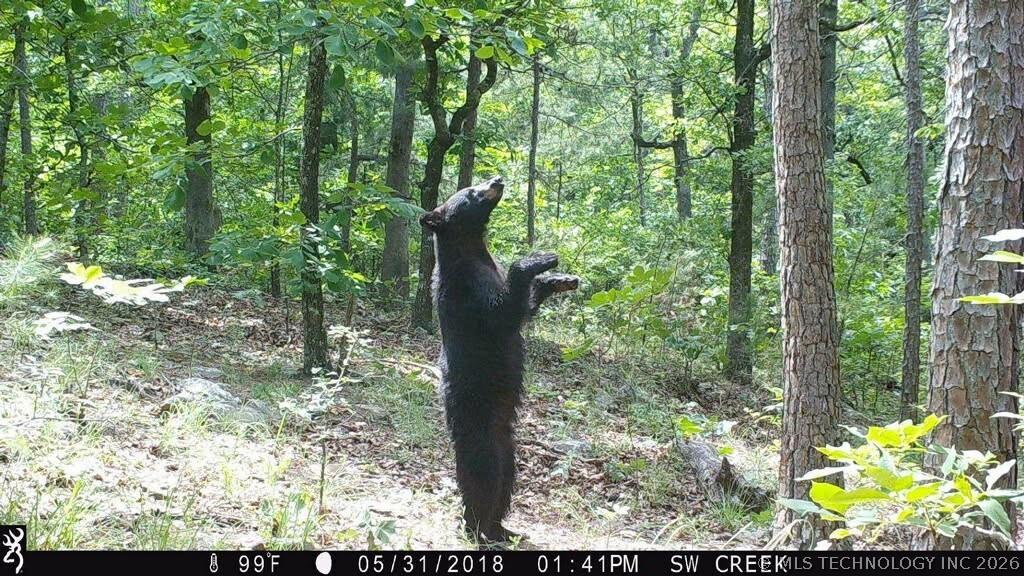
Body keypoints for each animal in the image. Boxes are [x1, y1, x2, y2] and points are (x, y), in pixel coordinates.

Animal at [419, 175, 579, 543]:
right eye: (469, 192)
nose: (497, 179)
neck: (473, 249)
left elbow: (523, 309)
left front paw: (559, 280)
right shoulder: (468, 293)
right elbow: (503, 314)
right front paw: (539, 259)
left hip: (509, 449)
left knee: (507, 479)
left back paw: (503, 528)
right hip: (480, 426)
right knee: (484, 477)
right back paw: (478, 528)